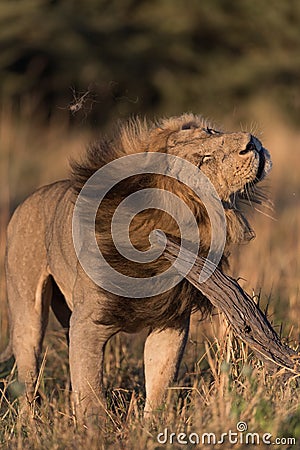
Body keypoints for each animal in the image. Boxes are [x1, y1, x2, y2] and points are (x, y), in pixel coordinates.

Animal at [0, 114, 272, 424]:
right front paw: (95, 430)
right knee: (28, 374)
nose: (252, 143)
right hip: (27, 313)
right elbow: (90, 390)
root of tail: (31, 196)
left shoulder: (170, 322)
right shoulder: (87, 322)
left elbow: (160, 381)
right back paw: (29, 423)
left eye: (211, 131)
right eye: (204, 160)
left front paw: (152, 425)